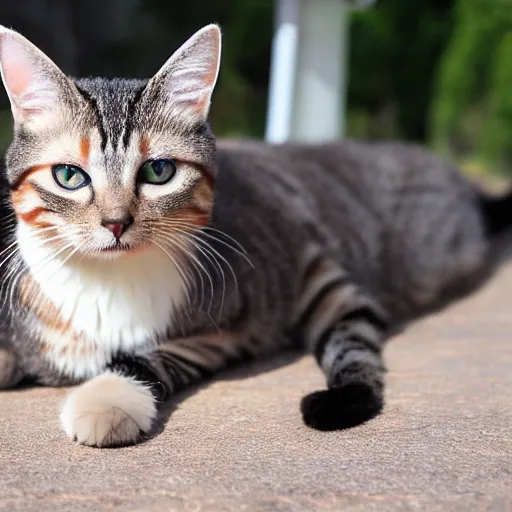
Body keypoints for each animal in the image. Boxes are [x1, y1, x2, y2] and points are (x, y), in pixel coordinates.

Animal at [1, 25, 512, 448]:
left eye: (158, 171)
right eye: (69, 176)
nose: (115, 222)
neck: (106, 282)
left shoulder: (222, 332)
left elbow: (146, 359)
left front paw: (104, 400)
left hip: (322, 281)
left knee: (355, 343)